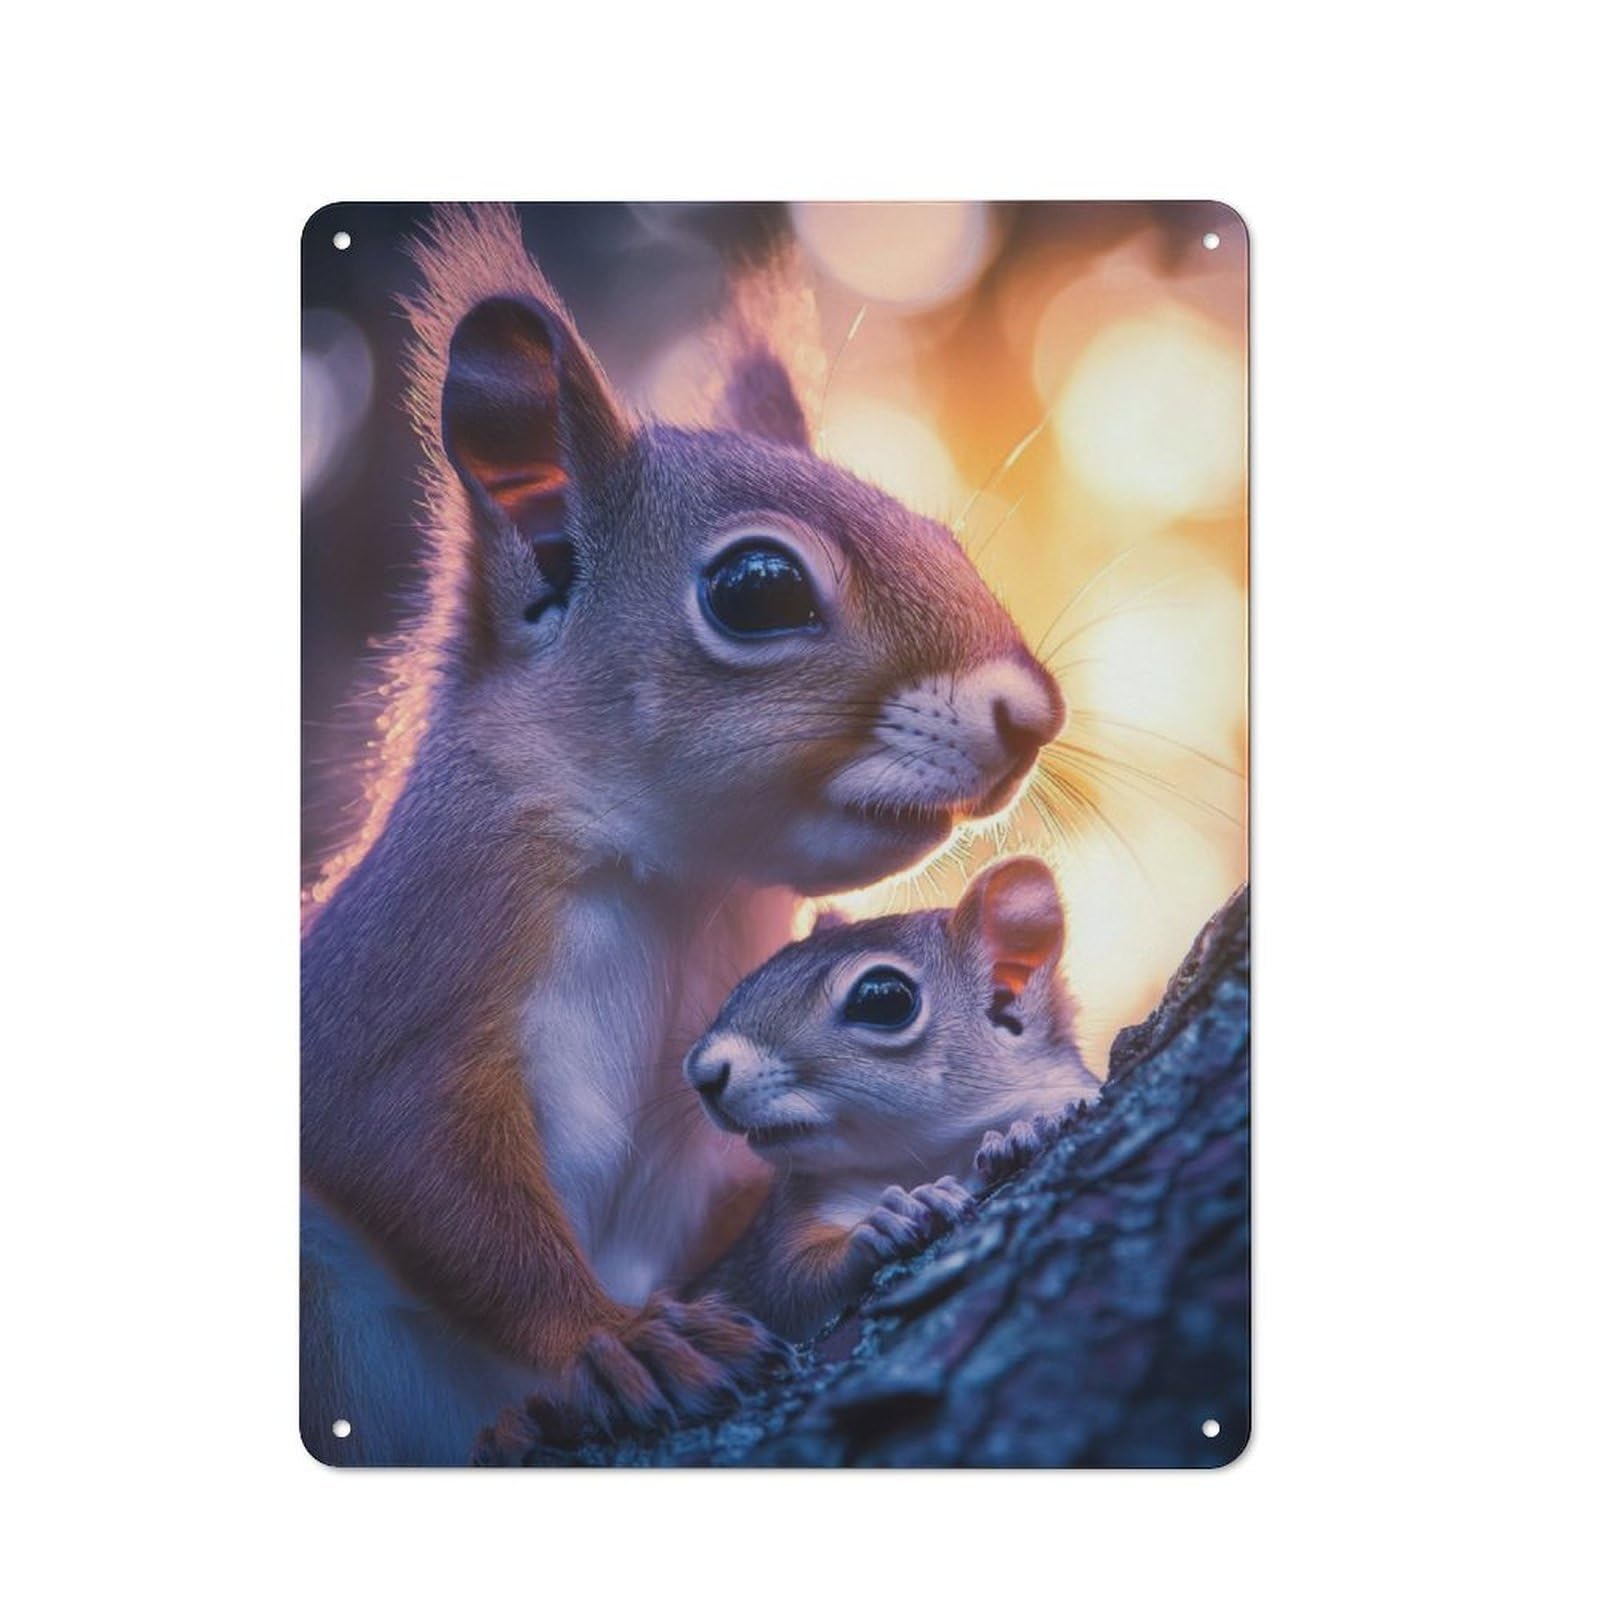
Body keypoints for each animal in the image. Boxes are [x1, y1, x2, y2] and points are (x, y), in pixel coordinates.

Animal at [682, 857, 1100, 1339]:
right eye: (746, 982)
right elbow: (790, 1285)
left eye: (883, 999)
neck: (929, 1157)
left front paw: (1027, 1130)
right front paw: (888, 1221)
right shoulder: (787, 1226)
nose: (703, 1073)